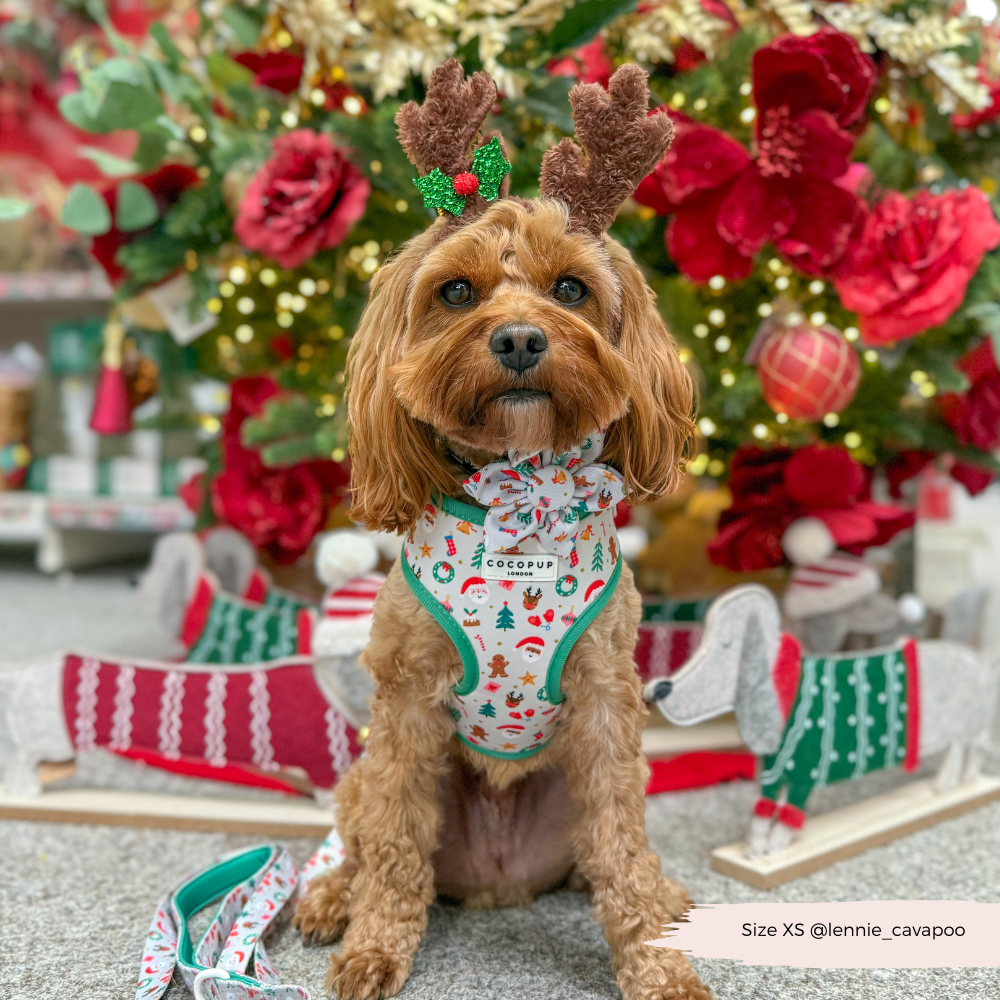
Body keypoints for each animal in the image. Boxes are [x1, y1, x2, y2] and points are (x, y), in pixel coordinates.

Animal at [292, 56, 708, 1000]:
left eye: (570, 289)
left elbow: (623, 851)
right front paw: (373, 949)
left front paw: (654, 961)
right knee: (364, 844)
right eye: (455, 291)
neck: (521, 498)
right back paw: (331, 899)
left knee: (608, 855)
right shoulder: (405, 714)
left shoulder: (606, 708)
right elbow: (395, 854)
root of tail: (497, 882)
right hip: (369, 774)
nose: (519, 338)